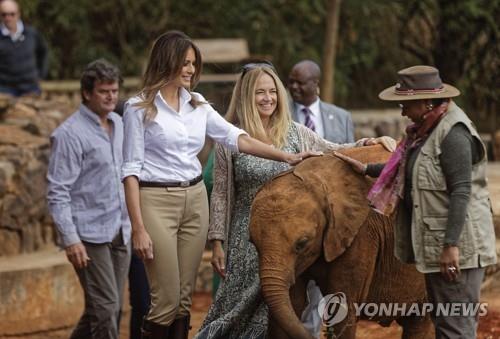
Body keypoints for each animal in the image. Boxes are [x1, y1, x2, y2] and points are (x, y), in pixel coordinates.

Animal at [250, 146, 434, 339]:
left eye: (302, 243)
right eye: (253, 243)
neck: (315, 180)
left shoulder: (360, 234)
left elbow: (342, 308)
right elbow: (293, 303)